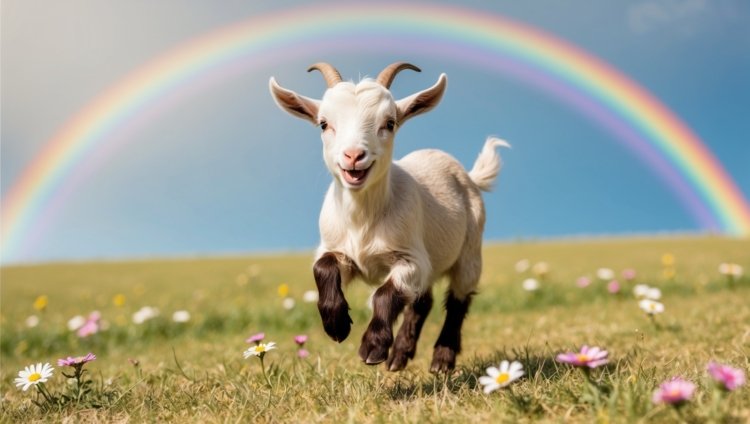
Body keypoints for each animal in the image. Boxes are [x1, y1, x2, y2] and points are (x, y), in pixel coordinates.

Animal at [270, 62, 512, 372]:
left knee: (458, 300)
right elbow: (323, 267)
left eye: (389, 123)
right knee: (423, 301)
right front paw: (337, 324)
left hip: (470, 251)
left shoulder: (412, 258)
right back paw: (400, 355)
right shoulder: (339, 250)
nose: (353, 156)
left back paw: (441, 359)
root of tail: (468, 175)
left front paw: (373, 347)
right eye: (324, 124)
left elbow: (385, 294)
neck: (363, 218)